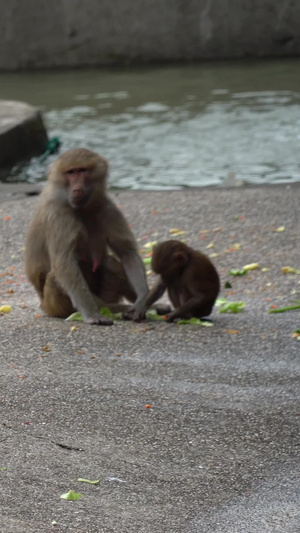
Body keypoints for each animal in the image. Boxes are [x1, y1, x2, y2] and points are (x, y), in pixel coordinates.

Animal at [24, 147, 149, 324]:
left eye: (82, 171)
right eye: (70, 172)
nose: (77, 189)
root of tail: (43, 306)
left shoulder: (107, 207)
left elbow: (127, 252)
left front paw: (142, 300)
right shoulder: (59, 214)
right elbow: (64, 262)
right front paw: (92, 314)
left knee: (110, 263)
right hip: (53, 306)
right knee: (55, 277)